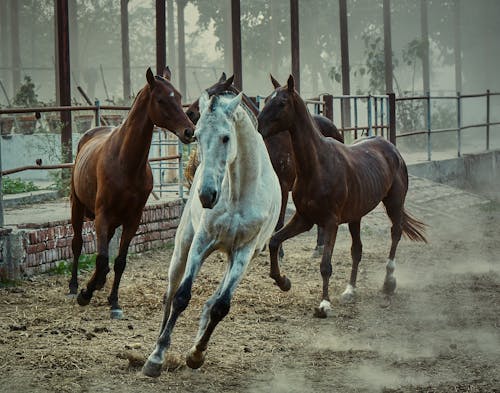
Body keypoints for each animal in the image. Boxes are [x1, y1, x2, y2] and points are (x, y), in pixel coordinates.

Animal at [69, 68, 194, 318]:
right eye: (161, 100)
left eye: (178, 96)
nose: (189, 131)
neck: (125, 162)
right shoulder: (102, 216)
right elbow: (102, 259)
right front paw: (86, 293)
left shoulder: (133, 220)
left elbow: (119, 261)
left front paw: (114, 301)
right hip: (77, 207)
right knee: (77, 244)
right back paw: (74, 286)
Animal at [143, 90, 282, 376]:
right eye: (197, 136)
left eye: (226, 137)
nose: (207, 195)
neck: (239, 192)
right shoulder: (201, 242)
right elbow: (182, 297)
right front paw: (158, 356)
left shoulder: (244, 251)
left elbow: (221, 306)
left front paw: (196, 354)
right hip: (182, 247)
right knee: (170, 294)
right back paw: (156, 346)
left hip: (236, 258)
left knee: (213, 299)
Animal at [184, 72, 344, 254]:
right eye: (266, 99)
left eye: (212, 93)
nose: (189, 113)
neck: (270, 143)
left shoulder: (283, 186)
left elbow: (279, 222)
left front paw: (279, 252)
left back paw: (319, 245)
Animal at [258, 75, 426, 316]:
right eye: (265, 101)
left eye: (281, 102)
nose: (258, 128)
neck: (316, 166)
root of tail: (391, 148)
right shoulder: (304, 219)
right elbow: (274, 241)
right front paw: (283, 282)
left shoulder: (331, 222)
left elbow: (325, 265)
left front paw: (324, 304)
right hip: (356, 216)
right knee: (357, 250)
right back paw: (350, 290)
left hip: (394, 203)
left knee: (395, 234)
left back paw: (388, 282)